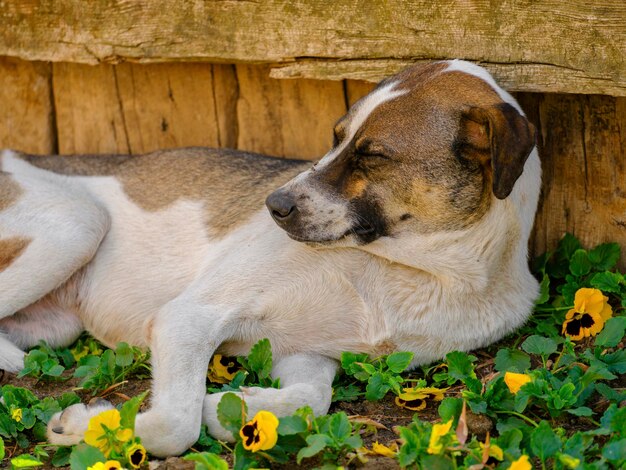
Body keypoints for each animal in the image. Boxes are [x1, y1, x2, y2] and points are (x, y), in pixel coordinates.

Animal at [0, 60, 536, 458]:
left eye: (373, 155)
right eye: (336, 137)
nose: (273, 205)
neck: (416, 271)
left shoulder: (309, 354)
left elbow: (311, 400)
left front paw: (230, 407)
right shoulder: (188, 316)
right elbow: (175, 425)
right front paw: (91, 427)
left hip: (56, 323)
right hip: (78, 224)